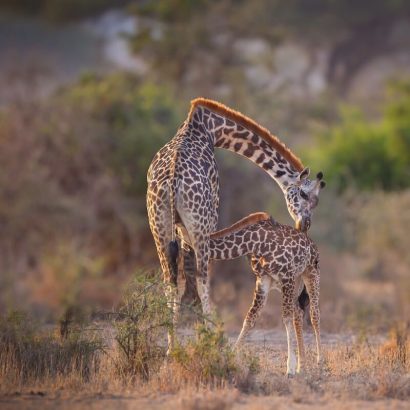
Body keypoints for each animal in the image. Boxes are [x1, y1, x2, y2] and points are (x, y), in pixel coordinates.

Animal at [147, 97, 324, 350]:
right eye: (303, 194)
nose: (305, 225)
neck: (211, 128)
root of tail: (172, 180)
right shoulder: (210, 216)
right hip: (200, 223)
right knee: (202, 280)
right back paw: (211, 341)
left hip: (158, 226)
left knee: (169, 283)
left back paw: (172, 349)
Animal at [208, 213, 320, 376]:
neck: (255, 242)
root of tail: (312, 243)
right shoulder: (264, 280)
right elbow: (250, 318)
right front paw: (230, 358)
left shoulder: (287, 275)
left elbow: (286, 318)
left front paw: (290, 368)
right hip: (295, 283)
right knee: (299, 313)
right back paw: (302, 366)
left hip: (311, 274)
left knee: (314, 314)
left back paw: (319, 361)